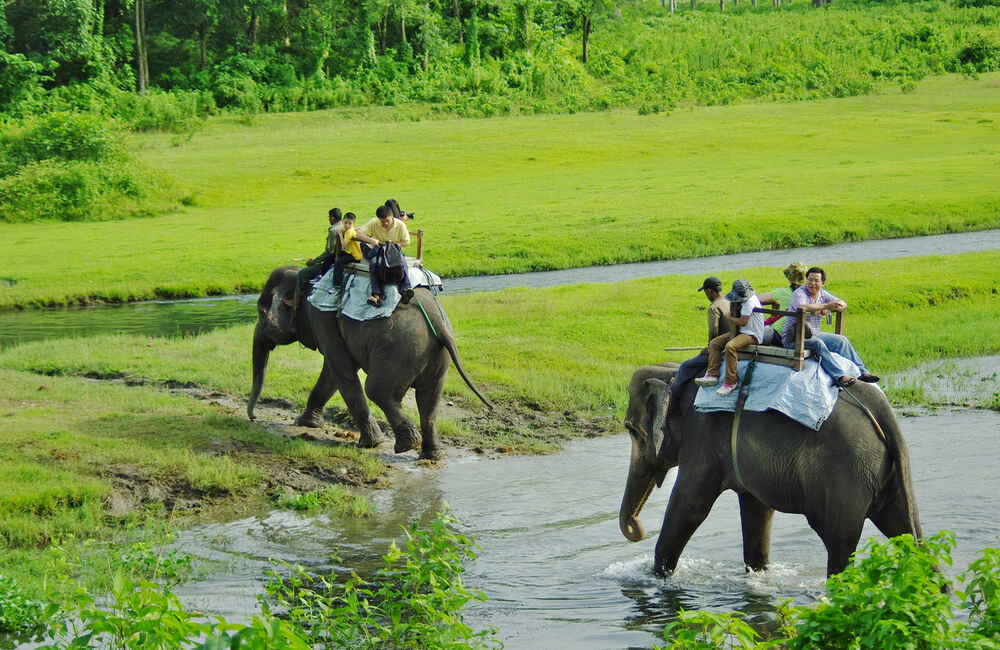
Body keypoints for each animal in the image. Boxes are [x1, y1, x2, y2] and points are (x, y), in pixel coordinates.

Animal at [250, 264, 492, 456]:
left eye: (261, 310)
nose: (253, 418)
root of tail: (437, 320)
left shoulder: (321, 316)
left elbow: (341, 371)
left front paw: (370, 444)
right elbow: (331, 373)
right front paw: (305, 423)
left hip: (398, 350)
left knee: (377, 390)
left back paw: (406, 446)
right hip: (434, 356)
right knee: (428, 400)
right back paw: (430, 455)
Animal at [616, 362, 920, 576]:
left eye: (631, 429)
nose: (637, 527)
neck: (672, 370)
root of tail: (882, 410)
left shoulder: (702, 435)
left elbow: (691, 506)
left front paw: (657, 577)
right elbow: (757, 511)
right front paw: (757, 574)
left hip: (845, 471)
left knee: (839, 543)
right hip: (887, 473)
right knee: (905, 532)